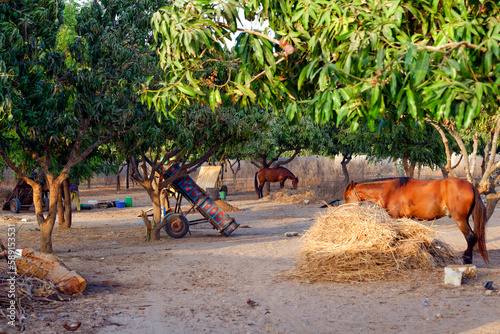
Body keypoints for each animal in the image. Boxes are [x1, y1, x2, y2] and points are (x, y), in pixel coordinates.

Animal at [344, 177, 488, 264]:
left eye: (346, 197)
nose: (346, 210)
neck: (391, 191)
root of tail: (471, 186)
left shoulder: (397, 218)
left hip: (460, 219)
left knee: (469, 237)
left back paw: (467, 260)